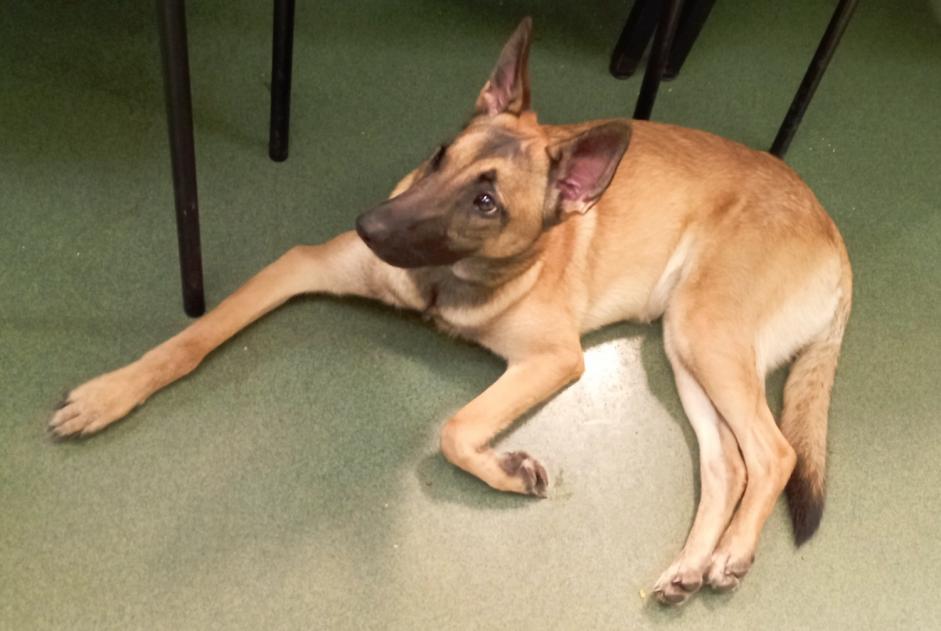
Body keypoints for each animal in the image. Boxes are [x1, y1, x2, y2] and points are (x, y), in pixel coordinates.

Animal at [47, 16, 848, 608]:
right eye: (440, 155)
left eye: (485, 200)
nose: (366, 224)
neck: (450, 278)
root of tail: (832, 231)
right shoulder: (301, 264)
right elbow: (194, 339)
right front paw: (109, 394)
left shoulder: (554, 359)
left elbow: (455, 428)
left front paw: (508, 468)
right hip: (684, 348)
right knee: (727, 465)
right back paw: (688, 567)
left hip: (704, 335)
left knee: (774, 453)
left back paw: (730, 556)